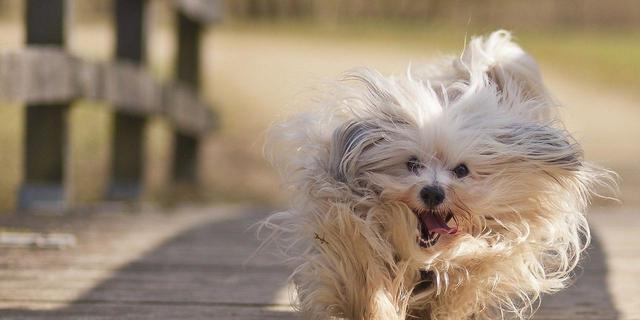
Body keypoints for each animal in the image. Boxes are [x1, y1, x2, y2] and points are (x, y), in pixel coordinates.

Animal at [262, 30, 608, 320]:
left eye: (462, 170)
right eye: (412, 163)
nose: (432, 191)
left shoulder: (495, 251)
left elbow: (467, 278)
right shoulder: (350, 226)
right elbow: (364, 275)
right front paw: (374, 307)